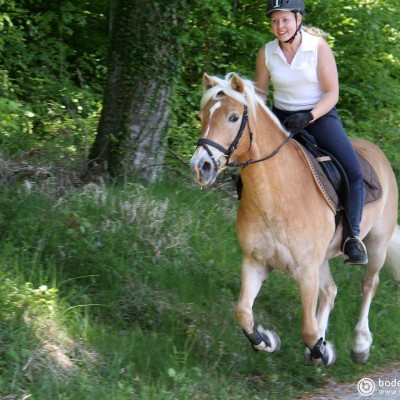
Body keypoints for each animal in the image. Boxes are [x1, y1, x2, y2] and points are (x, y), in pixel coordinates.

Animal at [188, 72, 400, 366]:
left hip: (377, 243)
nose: (200, 167)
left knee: (369, 284)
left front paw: (323, 351)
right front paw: (268, 340)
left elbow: (307, 329)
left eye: (233, 117)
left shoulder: (306, 270)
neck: (277, 194)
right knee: (330, 291)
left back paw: (359, 345)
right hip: (323, 257)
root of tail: (377, 153)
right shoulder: (255, 262)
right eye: (202, 115)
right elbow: (243, 313)